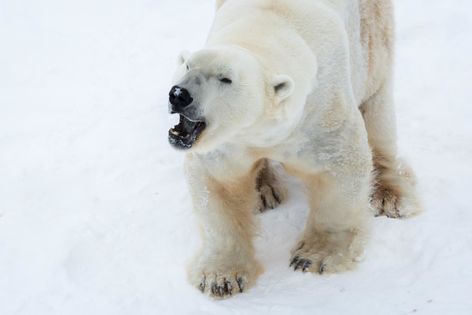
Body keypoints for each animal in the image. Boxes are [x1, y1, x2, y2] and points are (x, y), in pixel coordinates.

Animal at [166, 0, 420, 298]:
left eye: (225, 79)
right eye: (187, 66)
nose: (179, 94)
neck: (266, 26)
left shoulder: (323, 111)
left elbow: (342, 167)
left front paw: (314, 257)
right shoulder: (229, 142)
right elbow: (217, 184)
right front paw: (220, 277)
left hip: (371, 38)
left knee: (377, 106)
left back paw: (389, 196)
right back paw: (263, 191)